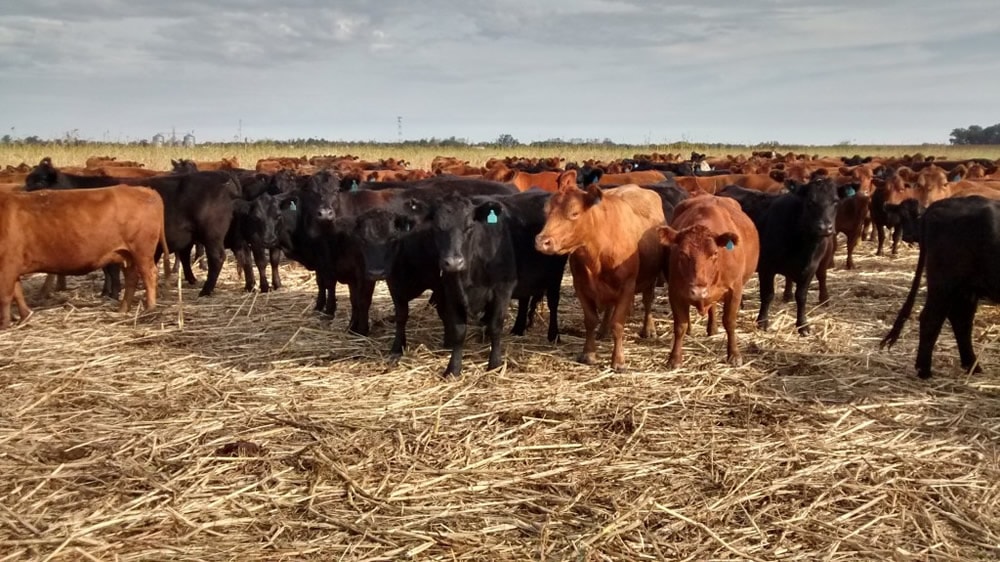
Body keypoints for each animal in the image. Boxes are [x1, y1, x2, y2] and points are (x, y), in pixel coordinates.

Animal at [0, 186, 168, 326]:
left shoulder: (7, 265)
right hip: (126, 255)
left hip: (142, 252)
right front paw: (24, 317)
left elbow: (6, 296)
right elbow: (17, 293)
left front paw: (5, 324)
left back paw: (150, 309)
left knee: (149, 275)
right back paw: (123, 309)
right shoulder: (11, 267)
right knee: (131, 279)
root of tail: (146, 189)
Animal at [536, 177, 668, 370]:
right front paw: (588, 354)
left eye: (574, 213)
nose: (542, 241)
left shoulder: (627, 286)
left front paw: (618, 360)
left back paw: (648, 329)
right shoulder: (581, 286)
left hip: (650, 277)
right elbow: (591, 321)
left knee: (648, 301)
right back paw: (603, 330)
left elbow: (618, 324)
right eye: (546, 211)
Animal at [656, 196, 756, 368]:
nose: (698, 291)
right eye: (682, 253)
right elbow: (680, 326)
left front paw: (734, 354)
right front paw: (674, 358)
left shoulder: (735, 290)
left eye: (714, 253)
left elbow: (730, 322)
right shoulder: (675, 293)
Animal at [880, 196, 1000, 376]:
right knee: (932, 318)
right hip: (945, 284)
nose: (908, 236)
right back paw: (924, 370)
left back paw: (972, 366)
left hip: (966, 288)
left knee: (961, 320)